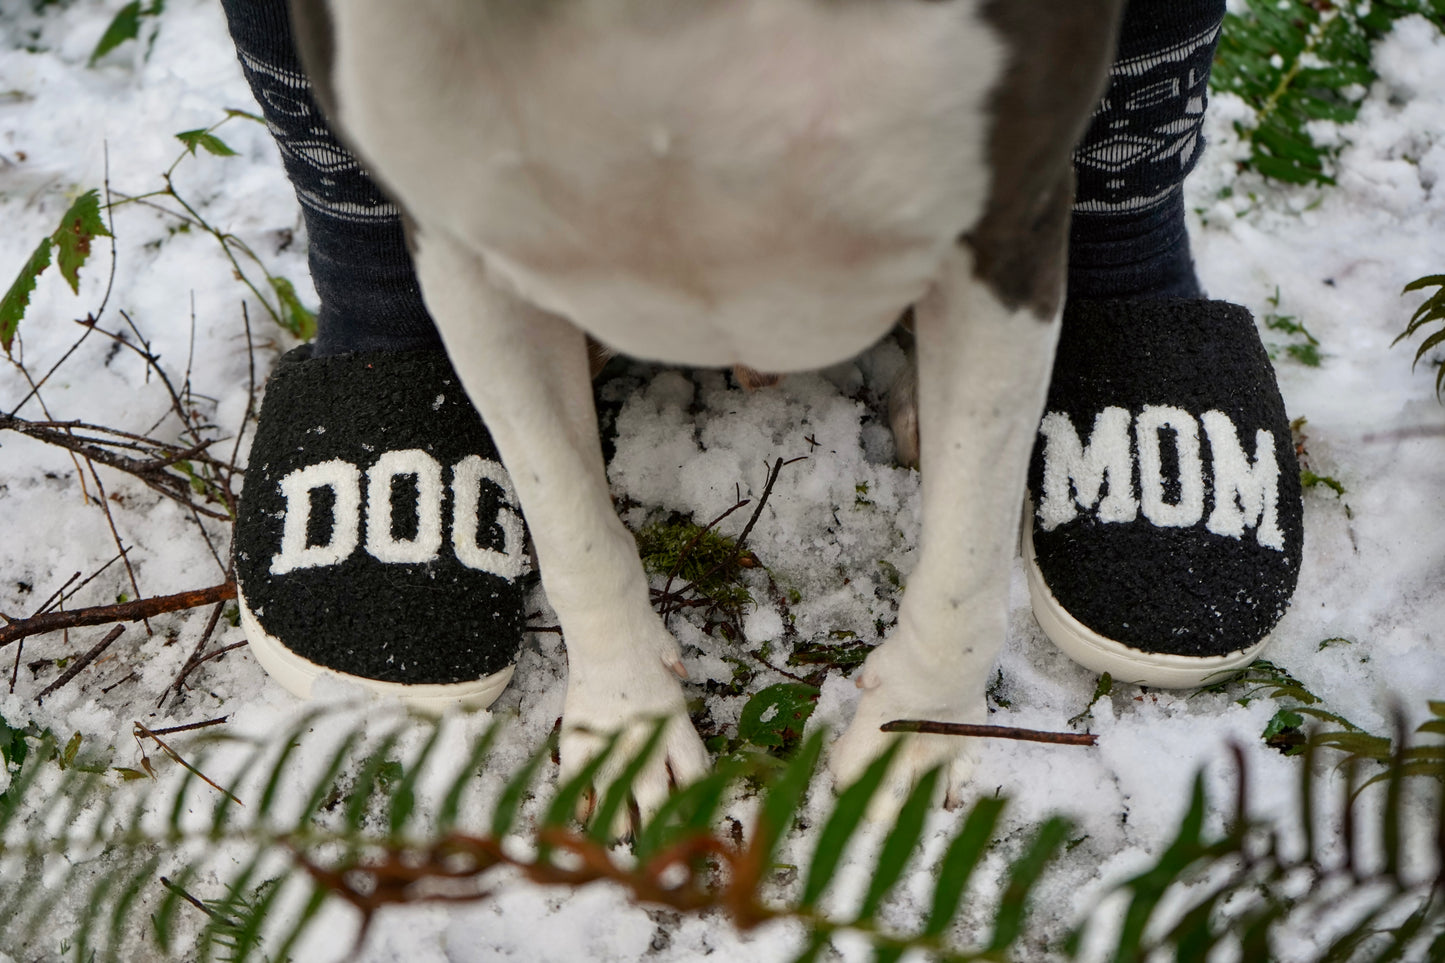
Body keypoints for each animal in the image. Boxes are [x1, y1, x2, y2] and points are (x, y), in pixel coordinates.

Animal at [287, 0, 1121, 815]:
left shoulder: (1008, 222)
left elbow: (965, 551)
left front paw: (917, 731)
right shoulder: (463, 252)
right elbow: (570, 528)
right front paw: (626, 721)